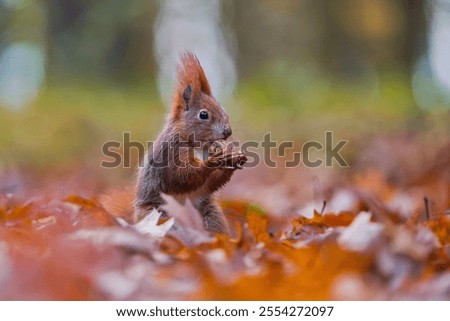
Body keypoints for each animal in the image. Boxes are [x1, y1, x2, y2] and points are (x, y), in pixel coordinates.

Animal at [134, 52, 246, 232]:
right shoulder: (172, 152)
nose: (227, 132)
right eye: (203, 114)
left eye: (224, 111)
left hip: (212, 216)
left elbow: (208, 185)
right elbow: (182, 176)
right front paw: (210, 163)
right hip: (159, 215)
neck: (198, 145)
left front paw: (234, 159)